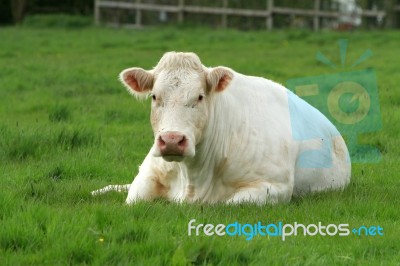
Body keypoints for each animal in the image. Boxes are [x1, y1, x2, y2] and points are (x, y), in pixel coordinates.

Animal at [92, 52, 352, 206]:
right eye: (155, 96)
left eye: (199, 96)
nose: (173, 140)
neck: (193, 179)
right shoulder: (147, 176)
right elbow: (133, 197)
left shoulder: (274, 186)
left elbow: (231, 203)